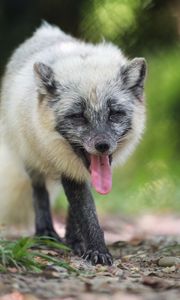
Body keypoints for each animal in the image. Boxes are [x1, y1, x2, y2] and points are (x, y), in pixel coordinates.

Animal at [0, 21, 146, 264]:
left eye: (114, 114)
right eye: (78, 116)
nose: (103, 146)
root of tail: (46, 30)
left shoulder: (82, 173)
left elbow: (78, 211)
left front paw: (79, 243)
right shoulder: (68, 169)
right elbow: (86, 213)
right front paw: (98, 251)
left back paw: (71, 240)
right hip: (30, 158)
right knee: (39, 193)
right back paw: (46, 234)